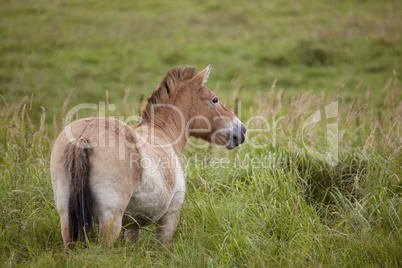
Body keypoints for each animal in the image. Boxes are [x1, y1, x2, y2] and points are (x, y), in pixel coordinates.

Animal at [50, 65, 245, 249]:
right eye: (214, 100)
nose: (241, 130)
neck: (162, 132)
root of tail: (84, 136)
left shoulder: (132, 225)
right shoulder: (170, 217)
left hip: (67, 220)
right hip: (110, 220)